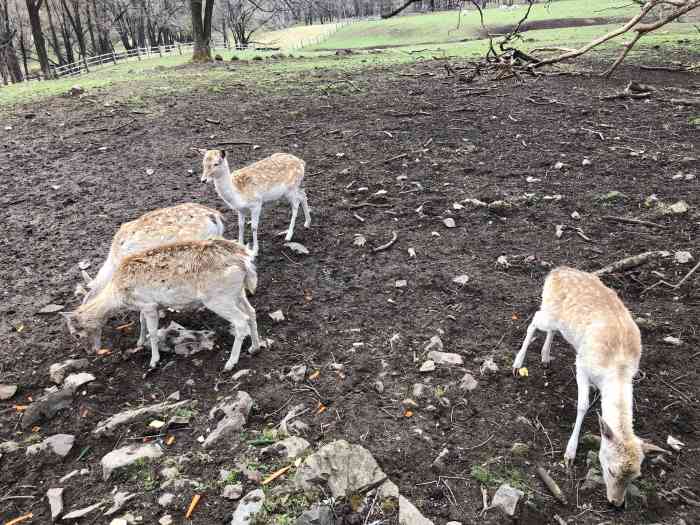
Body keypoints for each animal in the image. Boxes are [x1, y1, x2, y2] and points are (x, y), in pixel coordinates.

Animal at [62, 239, 260, 370]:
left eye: (76, 334)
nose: (91, 351)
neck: (118, 293)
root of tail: (245, 260)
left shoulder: (148, 304)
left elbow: (153, 330)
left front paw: (154, 360)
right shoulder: (147, 305)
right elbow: (141, 322)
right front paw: (139, 342)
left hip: (218, 297)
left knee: (241, 321)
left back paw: (230, 363)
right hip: (237, 293)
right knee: (251, 312)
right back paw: (255, 347)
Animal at [516, 266, 668, 508]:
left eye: (636, 476)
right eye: (611, 471)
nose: (616, 503)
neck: (617, 369)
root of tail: (555, 271)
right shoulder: (582, 364)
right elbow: (583, 405)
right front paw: (569, 454)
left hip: (559, 320)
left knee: (552, 329)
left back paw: (546, 356)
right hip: (549, 312)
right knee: (534, 319)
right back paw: (517, 363)